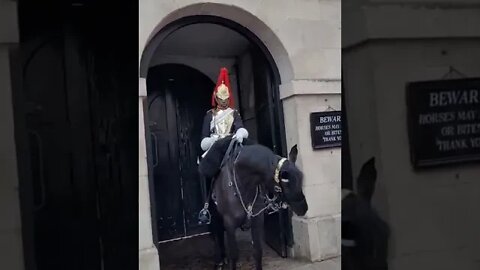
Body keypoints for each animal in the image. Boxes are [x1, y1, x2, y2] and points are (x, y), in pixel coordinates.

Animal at [198, 137, 308, 270]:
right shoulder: (230, 224)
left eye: (301, 177)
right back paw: (219, 260)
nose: (303, 208)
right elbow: (234, 255)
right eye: (285, 182)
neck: (243, 183)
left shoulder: (257, 222)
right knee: (217, 234)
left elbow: (258, 252)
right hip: (215, 216)